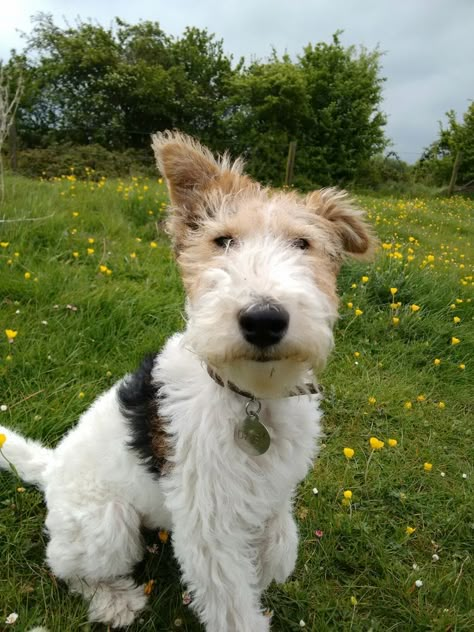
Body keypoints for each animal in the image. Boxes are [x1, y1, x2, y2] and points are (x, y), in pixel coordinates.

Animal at [0, 131, 374, 628]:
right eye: (222, 240)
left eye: (303, 243)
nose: (264, 320)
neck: (251, 395)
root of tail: (51, 466)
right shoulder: (208, 526)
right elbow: (233, 604)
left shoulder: (273, 485)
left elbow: (279, 538)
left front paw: (269, 565)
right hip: (104, 524)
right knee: (70, 567)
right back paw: (116, 600)